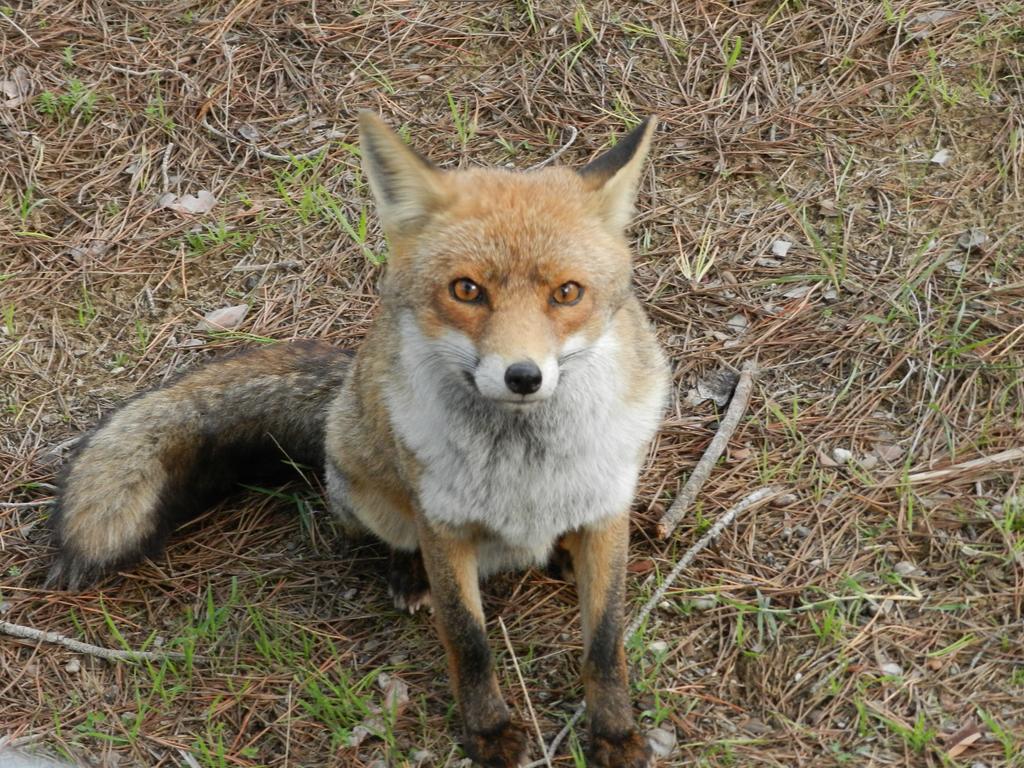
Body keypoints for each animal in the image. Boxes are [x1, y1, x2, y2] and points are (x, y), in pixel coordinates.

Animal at [49, 112, 671, 768]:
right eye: (467, 290)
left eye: (567, 293)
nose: (523, 376)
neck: (526, 470)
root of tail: (344, 389)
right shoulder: (443, 522)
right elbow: (468, 641)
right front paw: (488, 732)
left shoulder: (605, 512)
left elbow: (604, 644)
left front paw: (614, 733)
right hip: (367, 493)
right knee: (395, 538)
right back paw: (409, 573)